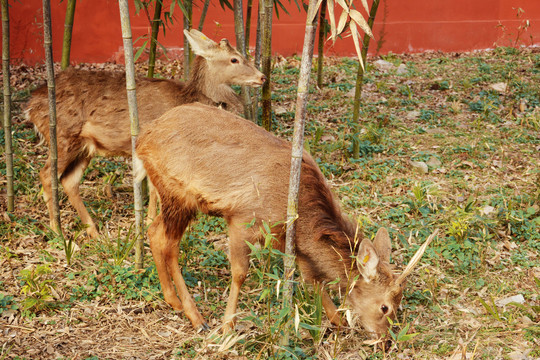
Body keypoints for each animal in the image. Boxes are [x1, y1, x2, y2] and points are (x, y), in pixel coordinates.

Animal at [25, 29, 266, 238]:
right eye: (234, 59)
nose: (262, 77)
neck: (185, 99)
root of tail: (30, 107)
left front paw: (146, 223)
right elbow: (154, 188)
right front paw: (149, 222)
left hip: (85, 146)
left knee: (69, 181)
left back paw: (93, 231)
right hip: (63, 137)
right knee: (47, 175)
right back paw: (57, 230)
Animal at [135, 102, 434, 338]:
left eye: (400, 303)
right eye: (385, 306)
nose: (385, 339)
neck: (303, 215)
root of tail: (141, 140)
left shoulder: (289, 239)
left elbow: (311, 278)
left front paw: (337, 321)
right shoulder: (242, 219)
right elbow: (240, 273)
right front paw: (228, 327)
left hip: (171, 196)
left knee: (153, 231)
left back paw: (173, 301)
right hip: (177, 194)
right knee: (168, 243)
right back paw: (196, 317)